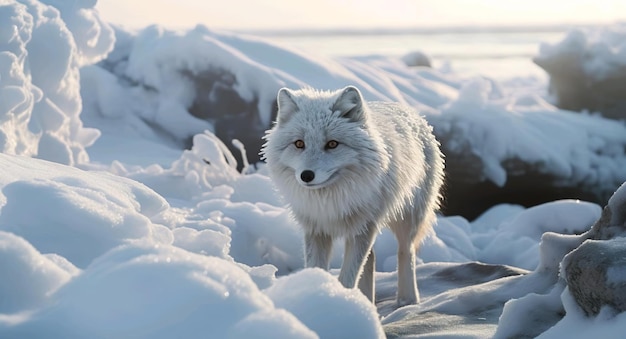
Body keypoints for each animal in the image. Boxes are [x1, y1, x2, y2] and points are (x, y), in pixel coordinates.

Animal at [258, 87, 444, 306]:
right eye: (299, 143)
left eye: (332, 144)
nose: (306, 175)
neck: (330, 201)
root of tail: (414, 114)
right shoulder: (316, 230)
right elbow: (317, 268)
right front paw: (318, 293)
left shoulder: (362, 230)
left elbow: (347, 278)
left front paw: (342, 302)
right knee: (371, 259)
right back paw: (368, 301)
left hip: (407, 221)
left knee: (406, 253)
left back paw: (408, 301)